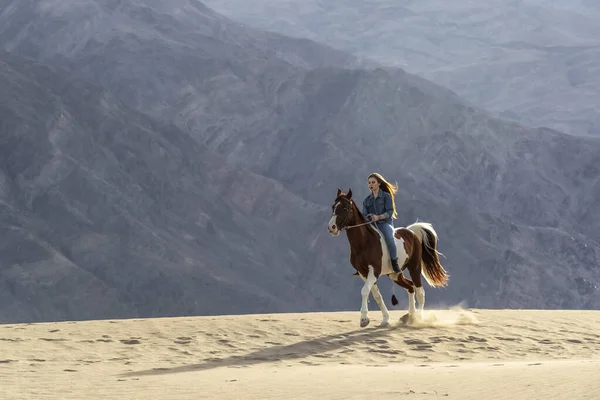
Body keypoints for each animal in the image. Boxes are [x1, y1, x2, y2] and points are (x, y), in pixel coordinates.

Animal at [326, 188, 448, 328]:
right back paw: (410, 316)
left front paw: (364, 319)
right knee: (410, 287)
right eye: (333, 207)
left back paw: (418, 319)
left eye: (345, 208)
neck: (364, 243)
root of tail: (412, 232)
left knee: (419, 292)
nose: (331, 227)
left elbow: (364, 291)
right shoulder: (363, 273)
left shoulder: (374, 271)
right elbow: (376, 295)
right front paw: (385, 319)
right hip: (395, 274)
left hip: (414, 267)